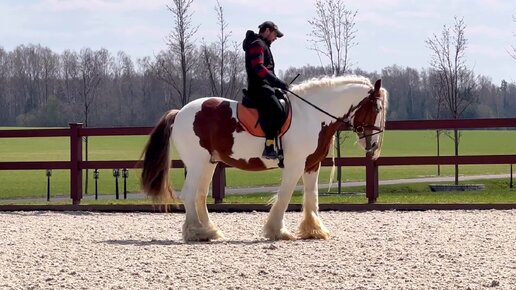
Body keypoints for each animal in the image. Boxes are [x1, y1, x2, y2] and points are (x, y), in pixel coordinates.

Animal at [140, 73, 388, 241]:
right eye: (376, 108)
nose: (373, 144)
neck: (311, 115)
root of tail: (179, 112)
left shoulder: (312, 164)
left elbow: (312, 197)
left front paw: (314, 230)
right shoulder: (295, 165)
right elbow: (285, 196)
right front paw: (277, 231)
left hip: (208, 163)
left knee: (200, 195)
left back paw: (209, 230)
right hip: (196, 163)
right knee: (189, 195)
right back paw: (195, 232)